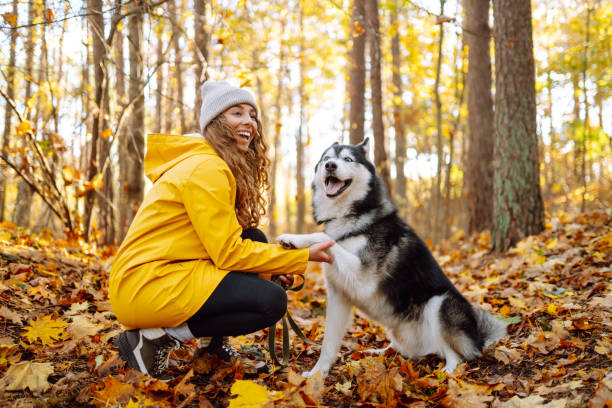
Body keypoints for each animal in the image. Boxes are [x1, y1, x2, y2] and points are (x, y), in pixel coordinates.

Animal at [278, 139, 506, 378]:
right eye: (326, 158)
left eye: (348, 159)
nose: (330, 165)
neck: (351, 215)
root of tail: (478, 337)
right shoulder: (338, 293)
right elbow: (328, 343)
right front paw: (317, 373)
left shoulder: (363, 279)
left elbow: (324, 237)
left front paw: (295, 239)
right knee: (401, 348)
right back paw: (376, 352)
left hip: (439, 304)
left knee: (456, 353)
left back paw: (447, 372)